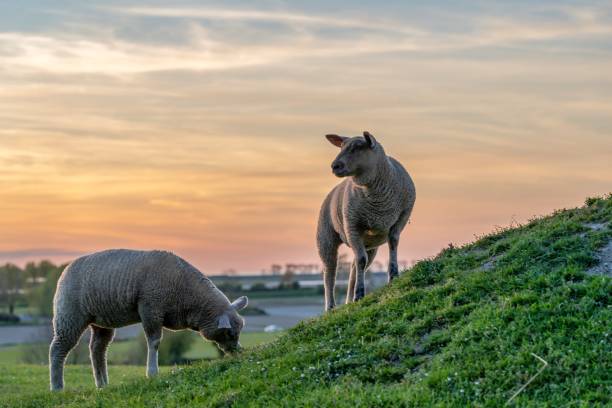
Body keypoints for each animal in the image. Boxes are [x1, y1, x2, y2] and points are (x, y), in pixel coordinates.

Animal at [49, 249, 247, 392]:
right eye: (229, 333)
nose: (239, 354)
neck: (189, 297)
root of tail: (65, 271)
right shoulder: (151, 309)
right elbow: (154, 342)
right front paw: (152, 373)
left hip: (101, 322)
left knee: (97, 350)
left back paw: (102, 385)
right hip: (69, 316)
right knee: (57, 349)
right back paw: (57, 387)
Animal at [316, 131, 416, 310]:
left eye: (358, 147)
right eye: (341, 147)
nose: (335, 166)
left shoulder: (401, 218)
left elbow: (393, 243)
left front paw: (393, 276)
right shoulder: (352, 225)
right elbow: (360, 261)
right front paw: (360, 293)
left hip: (369, 244)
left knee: (355, 265)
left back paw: (349, 300)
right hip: (326, 237)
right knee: (330, 271)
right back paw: (331, 307)